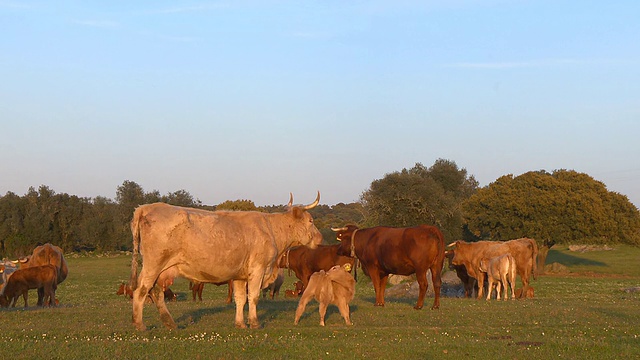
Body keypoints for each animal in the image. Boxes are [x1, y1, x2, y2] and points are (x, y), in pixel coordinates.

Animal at [130, 193, 322, 330]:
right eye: (311, 220)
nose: (320, 239)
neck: (271, 229)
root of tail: (146, 207)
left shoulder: (239, 276)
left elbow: (240, 299)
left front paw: (240, 324)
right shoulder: (258, 269)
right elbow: (253, 297)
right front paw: (254, 323)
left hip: (161, 271)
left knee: (156, 293)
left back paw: (170, 323)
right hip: (153, 265)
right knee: (141, 291)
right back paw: (140, 325)